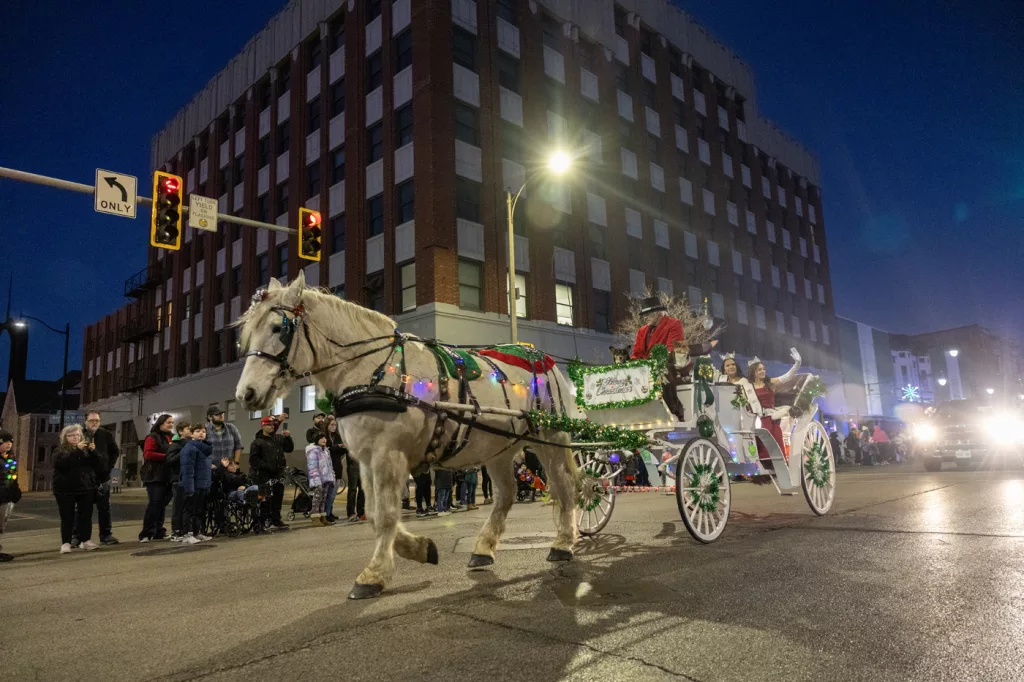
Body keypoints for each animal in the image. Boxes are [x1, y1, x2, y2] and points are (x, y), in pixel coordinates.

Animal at [234, 274, 581, 598]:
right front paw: (420, 548)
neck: (371, 370)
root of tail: (541, 357)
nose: (245, 394)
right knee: (506, 494)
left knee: (564, 487)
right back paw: (484, 548)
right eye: (247, 335)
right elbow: (375, 515)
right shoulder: (366, 459)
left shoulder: (389, 454)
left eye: (278, 328)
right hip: (499, 448)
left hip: (552, 436)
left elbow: (386, 515)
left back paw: (563, 543)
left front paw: (374, 574)